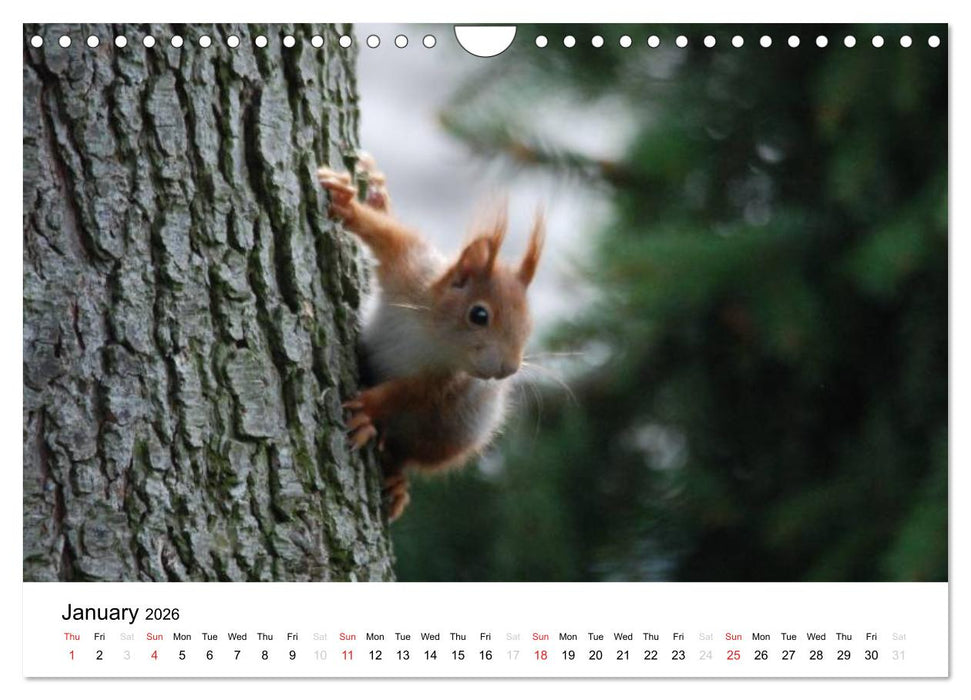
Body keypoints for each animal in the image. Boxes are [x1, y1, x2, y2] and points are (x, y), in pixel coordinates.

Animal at [317, 155, 545, 521]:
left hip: (449, 434)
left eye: (528, 324)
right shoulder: (409, 267)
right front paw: (349, 203)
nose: (508, 369)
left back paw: (394, 477)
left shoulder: (444, 379)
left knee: (402, 454)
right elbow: (386, 234)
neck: (433, 332)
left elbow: (407, 393)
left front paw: (367, 408)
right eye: (479, 315)